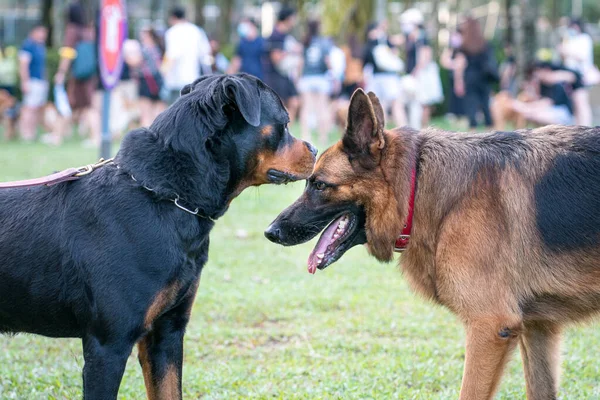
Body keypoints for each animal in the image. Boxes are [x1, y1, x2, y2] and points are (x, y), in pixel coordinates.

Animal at [0, 74, 316, 396]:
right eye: (285, 123)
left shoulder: (166, 332)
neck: (165, 194)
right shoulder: (108, 345)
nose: (314, 149)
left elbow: (169, 389)